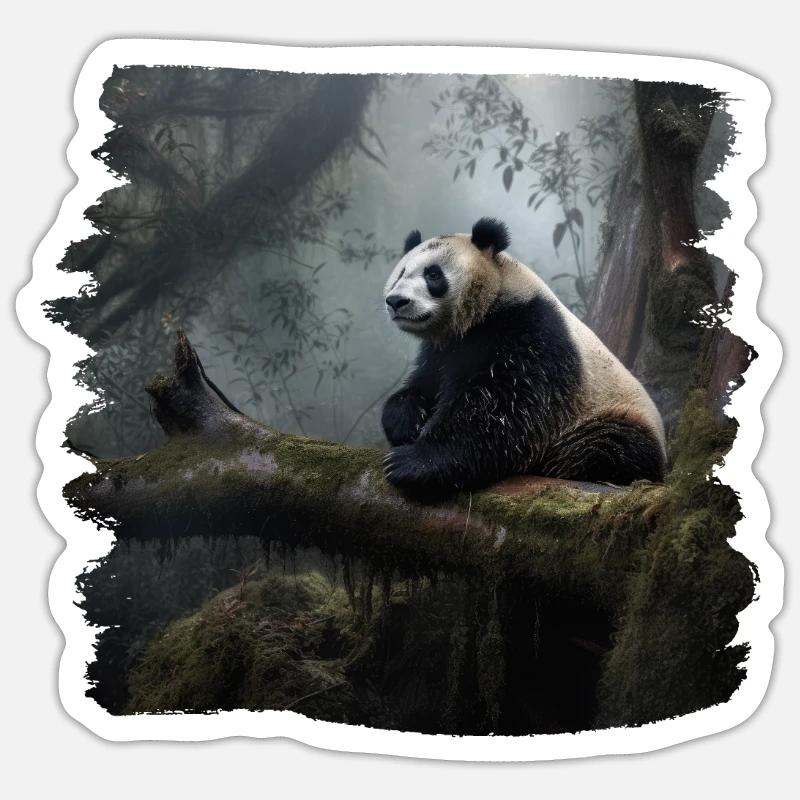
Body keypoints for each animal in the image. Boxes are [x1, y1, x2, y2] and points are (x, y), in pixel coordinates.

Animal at [381, 217, 666, 492]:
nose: (396, 301)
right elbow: (425, 382)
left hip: (608, 415)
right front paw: (406, 420)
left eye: (433, 274)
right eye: (401, 273)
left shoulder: (529, 330)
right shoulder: (443, 350)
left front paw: (410, 462)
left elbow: (502, 411)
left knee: (608, 448)